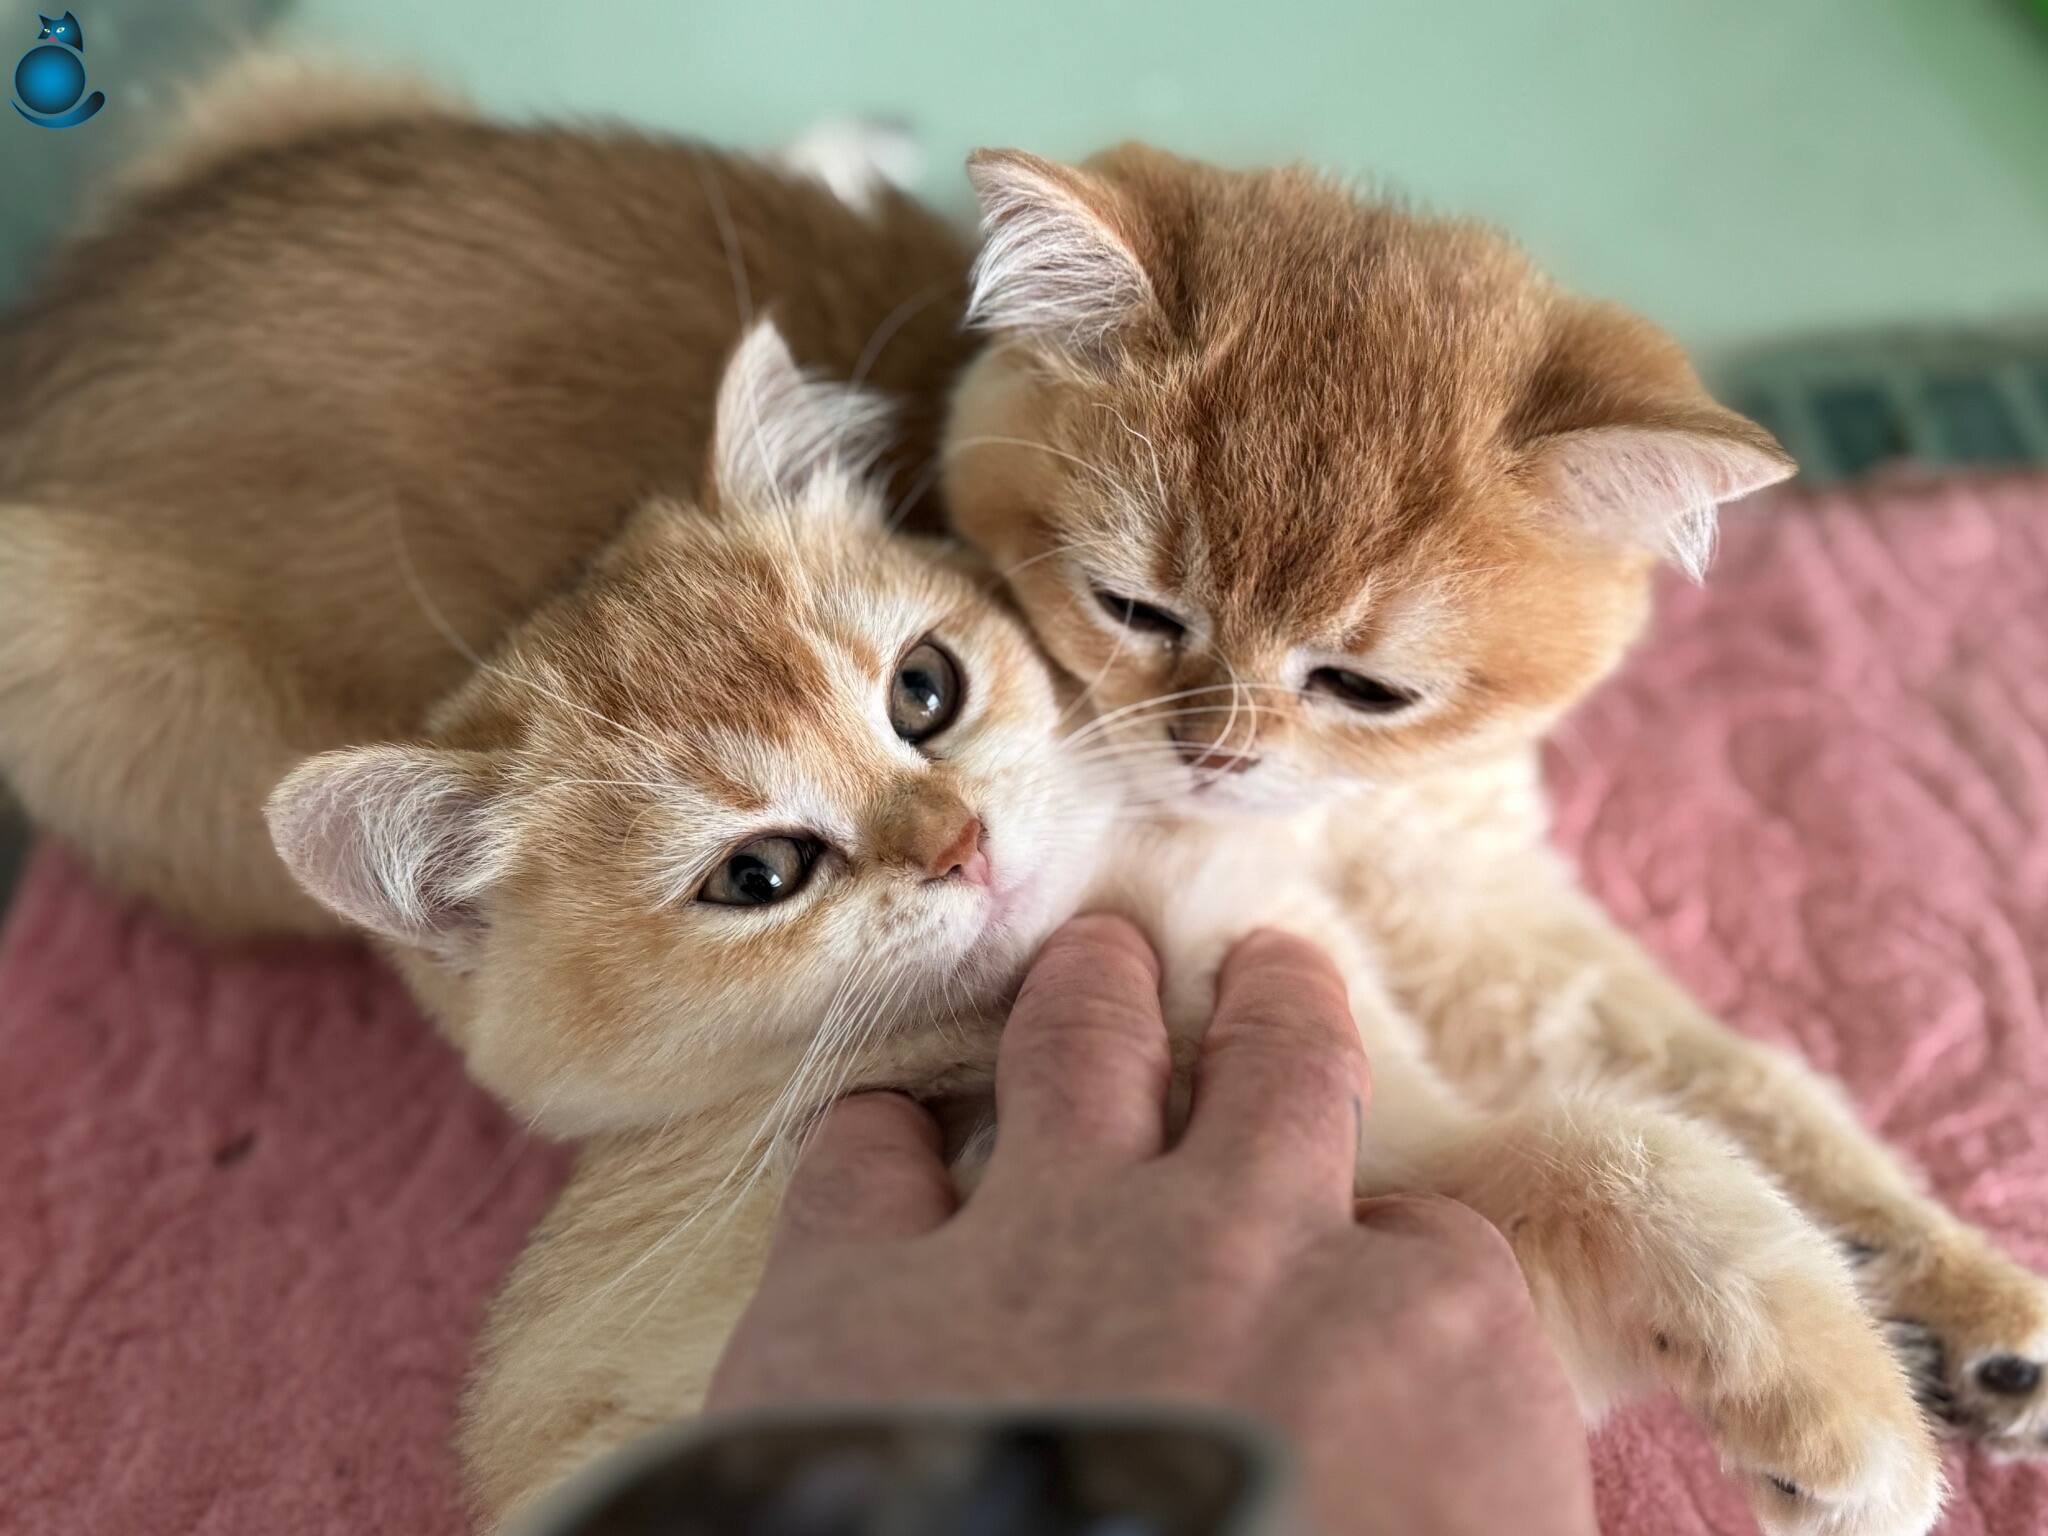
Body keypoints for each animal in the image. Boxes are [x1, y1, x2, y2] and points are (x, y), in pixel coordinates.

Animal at [266, 318, 1938, 1535]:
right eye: (757, 876)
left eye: (923, 690)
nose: (956, 846)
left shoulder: (1422, 1197)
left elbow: (1625, 1146)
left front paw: (1842, 1415)